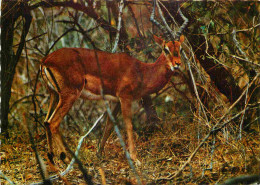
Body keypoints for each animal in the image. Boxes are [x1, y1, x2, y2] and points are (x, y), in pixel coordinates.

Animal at [40, 2, 187, 163]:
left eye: (180, 48)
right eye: (165, 49)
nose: (177, 64)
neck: (142, 70)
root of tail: (46, 60)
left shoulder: (115, 101)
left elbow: (109, 125)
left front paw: (99, 154)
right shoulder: (125, 97)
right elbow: (128, 125)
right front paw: (135, 159)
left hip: (54, 94)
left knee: (46, 121)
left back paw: (52, 158)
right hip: (70, 95)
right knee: (54, 123)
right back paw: (67, 160)